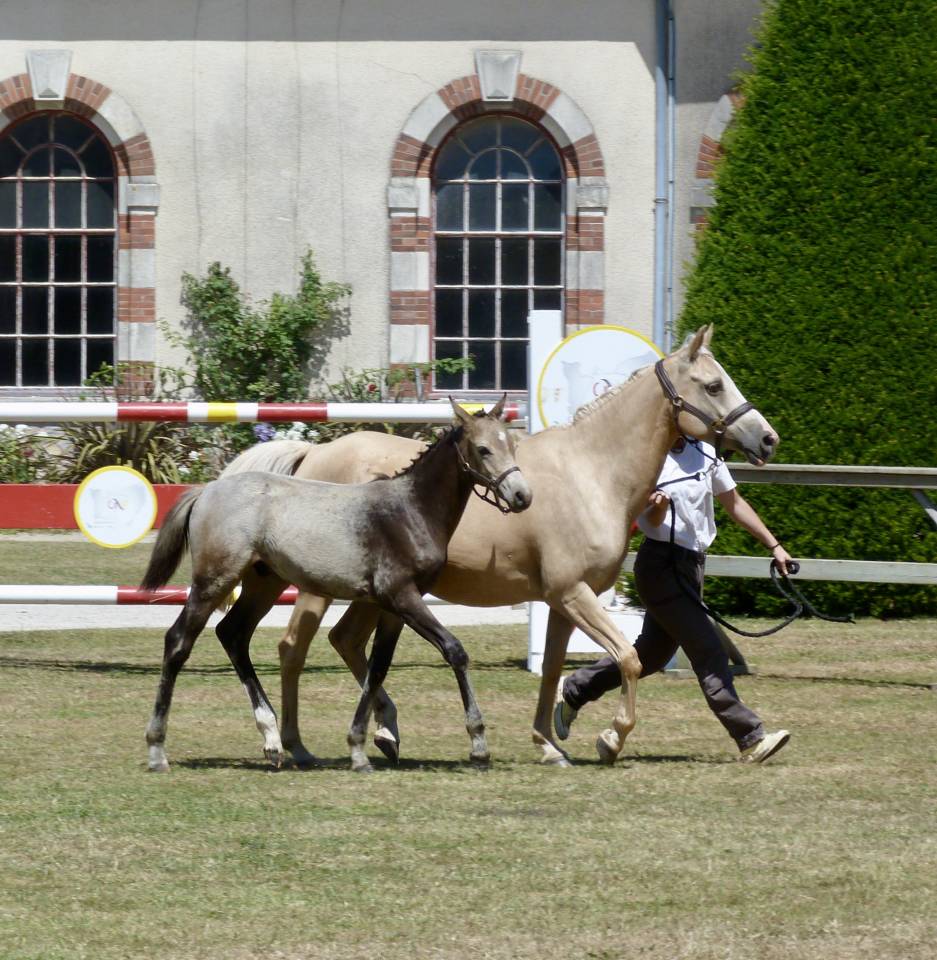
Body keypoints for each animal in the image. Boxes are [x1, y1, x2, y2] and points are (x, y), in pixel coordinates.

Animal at [141, 397, 532, 773]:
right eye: (483, 449)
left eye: (512, 444)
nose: (522, 495)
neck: (410, 511)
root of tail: (207, 490)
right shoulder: (401, 597)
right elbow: (453, 650)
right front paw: (478, 745)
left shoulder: (395, 607)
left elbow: (378, 665)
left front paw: (366, 744)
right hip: (214, 581)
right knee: (179, 641)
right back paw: (157, 748)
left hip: (262, 585)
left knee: (232, 634)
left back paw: (272, 740)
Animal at [222, 325, 779, 767]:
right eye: (713, 384)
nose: (768, 439)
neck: (591, 473)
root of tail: (311, 455)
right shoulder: (574, 593)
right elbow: (628, 658)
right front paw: (609, 739)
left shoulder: (562, 599)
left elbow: (553, 668)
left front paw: (549, 744)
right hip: (319, 589)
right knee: (293, 649)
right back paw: (294, 744)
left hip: (375, 596)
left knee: (345, 642)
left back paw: (385, 732)